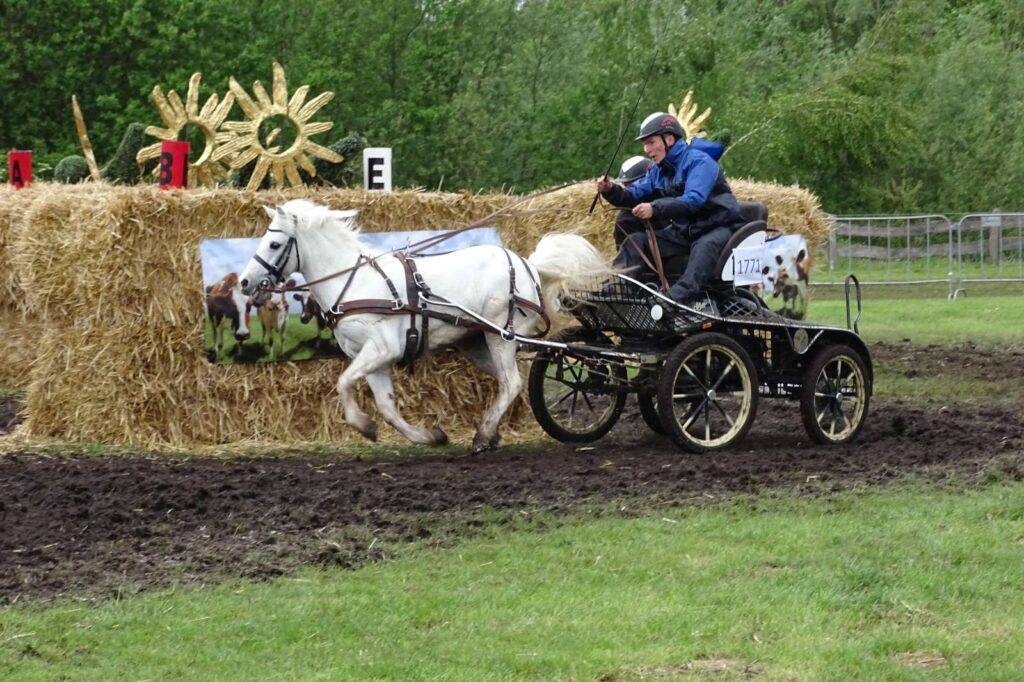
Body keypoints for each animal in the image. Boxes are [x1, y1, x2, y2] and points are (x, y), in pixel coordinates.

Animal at [239, 199, 608, 452]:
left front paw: (364, 426)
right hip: (477, 343)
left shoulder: (382, 348)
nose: (244, 282)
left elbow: (344, 383)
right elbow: (387, 406)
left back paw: (483, 435)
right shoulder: (372, 358)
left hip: (500, 336)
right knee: (510, 382)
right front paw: (429, 435)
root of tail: (528, 265)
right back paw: (493, 431)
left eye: (274, 244)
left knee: (512, 382)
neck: (353, 282)